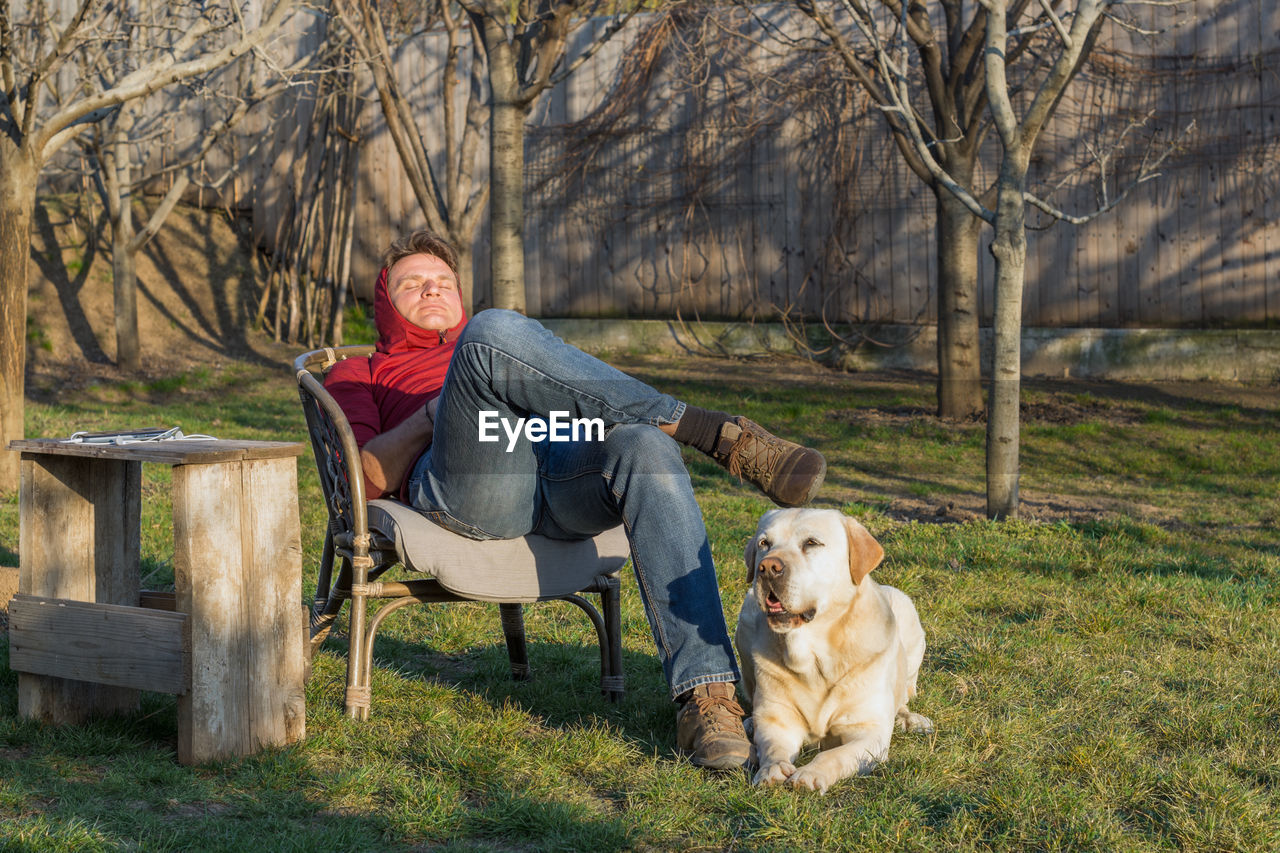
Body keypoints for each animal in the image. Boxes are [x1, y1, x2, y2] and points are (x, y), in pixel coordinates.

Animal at [737, 504, 936, 788]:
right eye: (764, 543)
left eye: (811, 543)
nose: (767, 567)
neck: (813, 656)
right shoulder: (779, 722)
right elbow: (773, 747)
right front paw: (771, 769)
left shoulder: (868, 733)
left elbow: (833, 755)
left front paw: (810, 774)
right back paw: (751, 721)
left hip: (906, 610)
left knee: (904, 698)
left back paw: (911, 720)